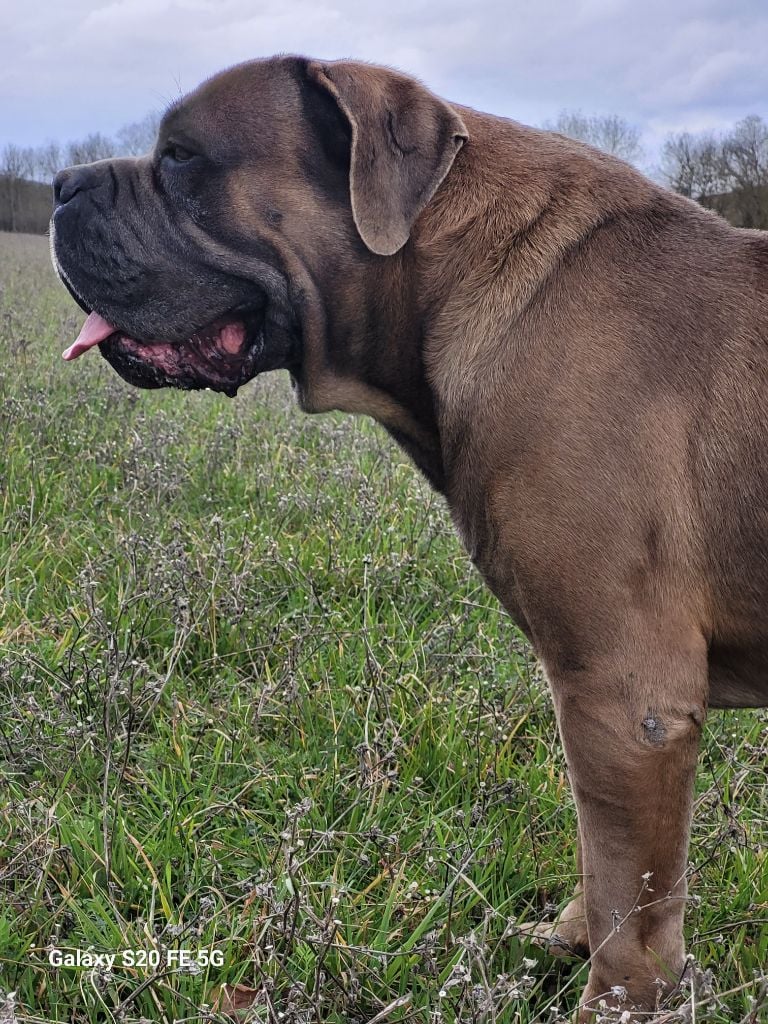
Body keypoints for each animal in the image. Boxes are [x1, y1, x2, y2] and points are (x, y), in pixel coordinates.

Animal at [50, 55, 768, 1018]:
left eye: (182, 158)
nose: (62, 184)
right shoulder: (601, 701)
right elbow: (599, 859)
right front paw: (564, 943)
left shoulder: (628, 695)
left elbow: (631, 895)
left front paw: (614, 999)